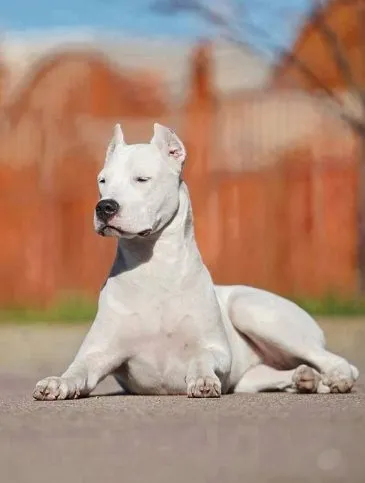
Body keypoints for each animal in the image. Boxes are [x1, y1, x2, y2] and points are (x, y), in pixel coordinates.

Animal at [32, 125, 356, 400]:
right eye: (102, 180)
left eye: (141, 179)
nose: (104, 207)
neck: (154, 266)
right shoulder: (98, 353)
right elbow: (77, 369)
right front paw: (57, 383)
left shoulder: (216, 349)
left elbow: (202, 357)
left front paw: (202, 379)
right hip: (251, 375)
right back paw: (305, 379)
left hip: (251, 309)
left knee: (337, 362)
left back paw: (336, 378)